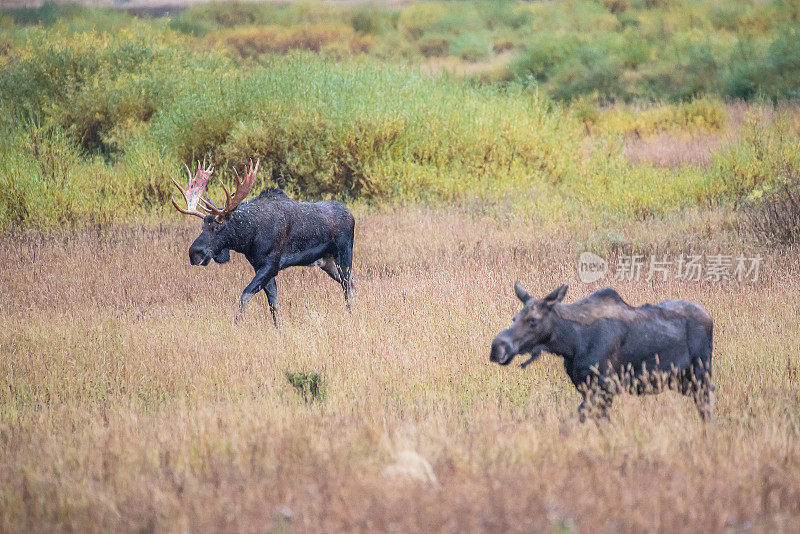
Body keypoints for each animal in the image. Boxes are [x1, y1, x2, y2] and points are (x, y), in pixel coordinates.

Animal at [170, 159, 354, 326]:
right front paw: (278, 328)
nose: (194, 253)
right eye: (202, 226)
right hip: (328, 262)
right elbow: (273, 304)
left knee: (348, 286)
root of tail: (350, 214)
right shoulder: (259, 266)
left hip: (344, 255)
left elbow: (245, 294)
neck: (249, 237)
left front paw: (236, 324)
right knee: (349, 284)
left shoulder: (271, 265)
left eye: (218, 227)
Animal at [490, 284, 716, 422]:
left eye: (533, 320)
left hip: (701, 377)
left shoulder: (605, 387)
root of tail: (709, 317)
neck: (571, 343)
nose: (497, 347)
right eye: (514, 318)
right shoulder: (587, 387)